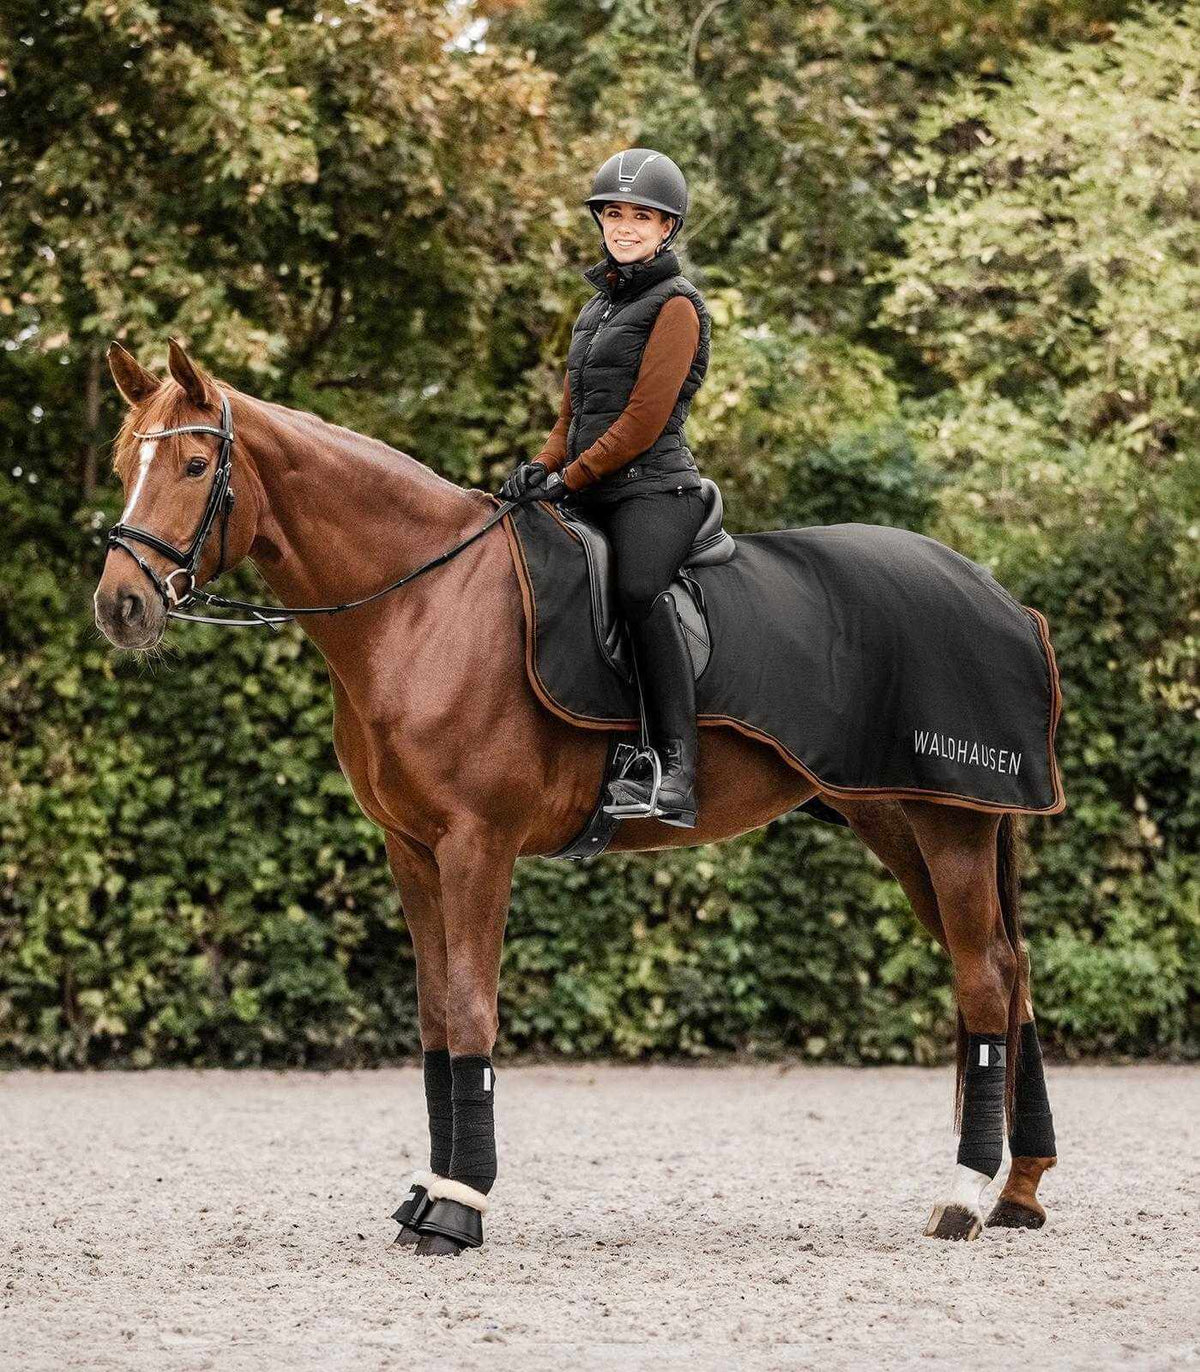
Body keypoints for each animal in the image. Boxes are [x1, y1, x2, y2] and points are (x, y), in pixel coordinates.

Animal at [93, 339, 1058, 1255]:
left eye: (192, 465)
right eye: (120, 463)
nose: (121, 605)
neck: (425, 605)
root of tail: (1004, 600)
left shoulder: (476, 845)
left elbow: (473, 1009)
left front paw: (460, 1205)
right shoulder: (412, 848)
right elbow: (436, 1013)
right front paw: (426, 1195)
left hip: (951, 826)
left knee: (983, 980)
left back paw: (963, 1196)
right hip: (897, 821)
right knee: (1009, 975)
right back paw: (1017, 1189)